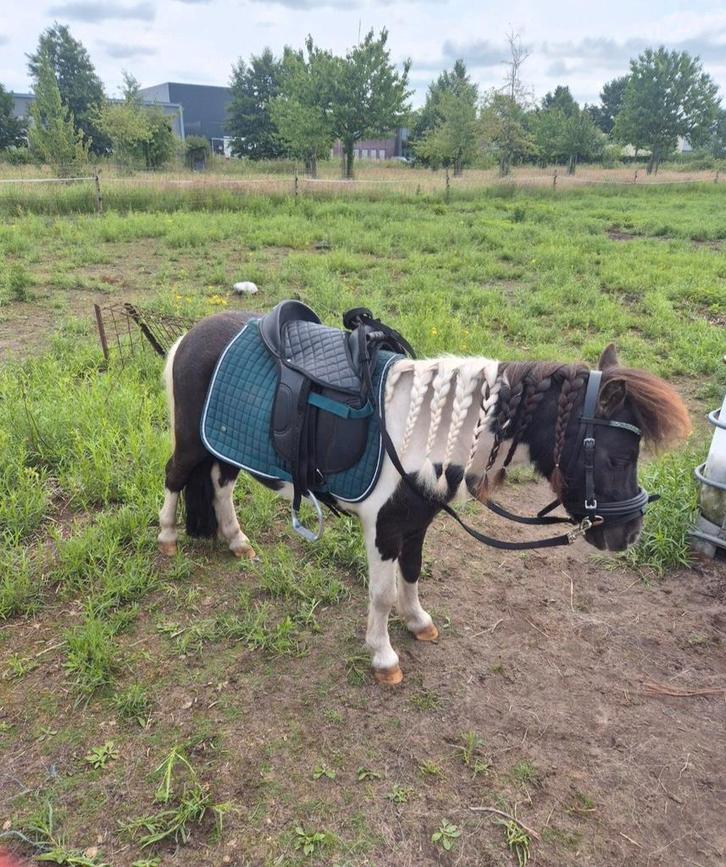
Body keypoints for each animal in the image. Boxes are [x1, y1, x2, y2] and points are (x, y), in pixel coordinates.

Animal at [158, 309, 691, 685]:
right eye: (619, 457)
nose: (629, 533)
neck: (427, 437)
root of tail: (191, 335)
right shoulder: (383, 528)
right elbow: (380, 592)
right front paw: (383, 656)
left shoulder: (417, 522)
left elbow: (412, 574)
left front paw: (417, 622)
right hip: (191, 442)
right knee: (175, 476)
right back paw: (166, 540)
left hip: (222, 444)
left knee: (221, 484)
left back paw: (237, 542)